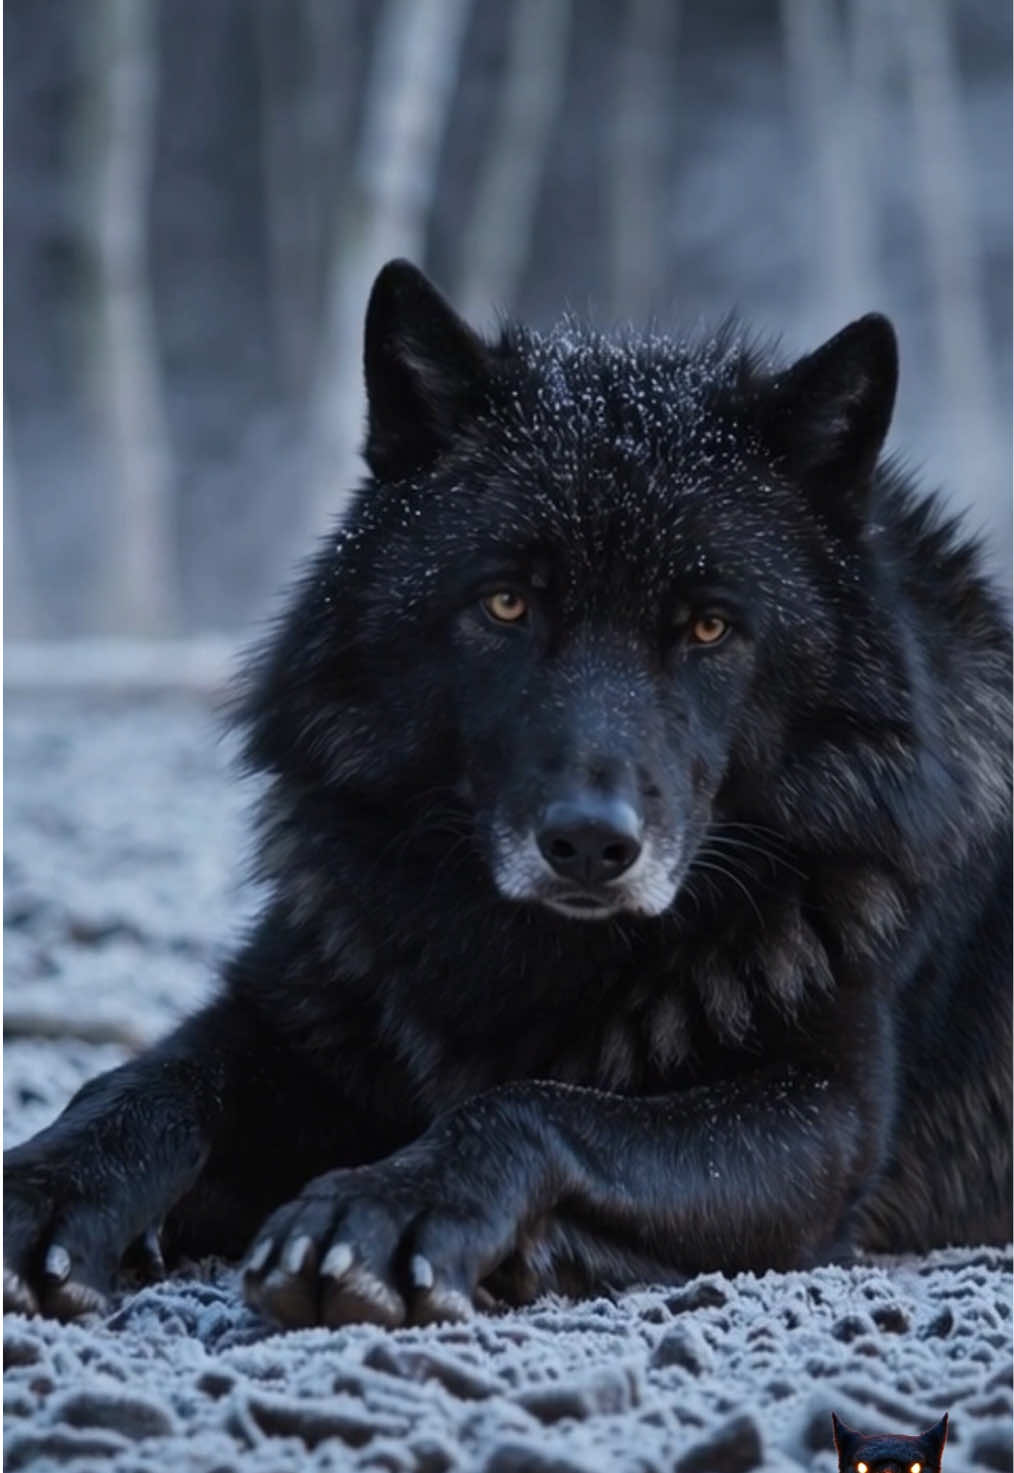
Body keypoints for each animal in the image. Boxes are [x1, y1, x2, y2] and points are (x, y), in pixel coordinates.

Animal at [5, 261, 1011, 1329]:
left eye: (708, 626)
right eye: (506, 603)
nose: (590, 843)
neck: (534, 957)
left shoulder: (828, 1115)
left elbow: (541, 1103)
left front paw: (386, 1205)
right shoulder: (287, 1013)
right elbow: (143, 1077)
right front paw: (40, 1190)